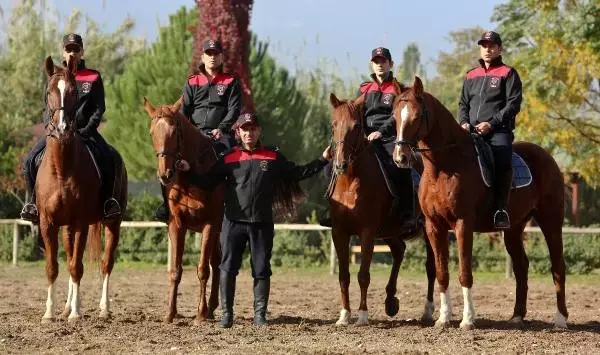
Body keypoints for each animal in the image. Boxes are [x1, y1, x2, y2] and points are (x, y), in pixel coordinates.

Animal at [37, 55, 127, 322]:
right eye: (49, 92)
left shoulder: (80, 223)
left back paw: (103, 308)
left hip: (113, 223)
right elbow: (53, 267)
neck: (62, 168)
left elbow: (77, 267)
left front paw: (76, 313)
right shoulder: (48, 223)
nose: (62, 129)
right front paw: (49, 313)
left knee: (106, 263)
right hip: (66, 228)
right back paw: (66, 306)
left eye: (74, 91)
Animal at [143, 96, 225, 324]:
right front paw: (170, 313)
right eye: (152, 133)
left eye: (174, 131)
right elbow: (175, 270)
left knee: (215, 262)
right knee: (216, 260)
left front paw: (200, 314)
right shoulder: (176, 225)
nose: (165, 175)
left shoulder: (210, 224)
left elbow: (203, 269)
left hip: (218, 227)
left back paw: (209, 308)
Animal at [328, 93, 436, 326]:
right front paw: (344, 315)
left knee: (431, 267)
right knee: (399, 250)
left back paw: (428, 311)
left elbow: (363, 275)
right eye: (333, 125)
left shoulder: (367, 232)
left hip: (428, 229)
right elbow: (343, 275)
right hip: (389, 231)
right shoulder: (339, 232)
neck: (350, 183)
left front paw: (362, 315)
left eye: (356, 126)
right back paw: (390, 300)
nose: (340, 164)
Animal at [394, 76, 568, 330]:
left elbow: (465, 272)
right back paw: (517, 316)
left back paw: (561, 319)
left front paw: (467, 320)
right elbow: (442, 272)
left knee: (558, 267)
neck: (445, 166)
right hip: (513, 228)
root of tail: (548, 158)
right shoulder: (434, 227)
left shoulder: (463, 225)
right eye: (395, 116)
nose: (401, 157)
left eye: (416, 116)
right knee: (521, 267)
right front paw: (443, 319)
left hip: (551, 222)